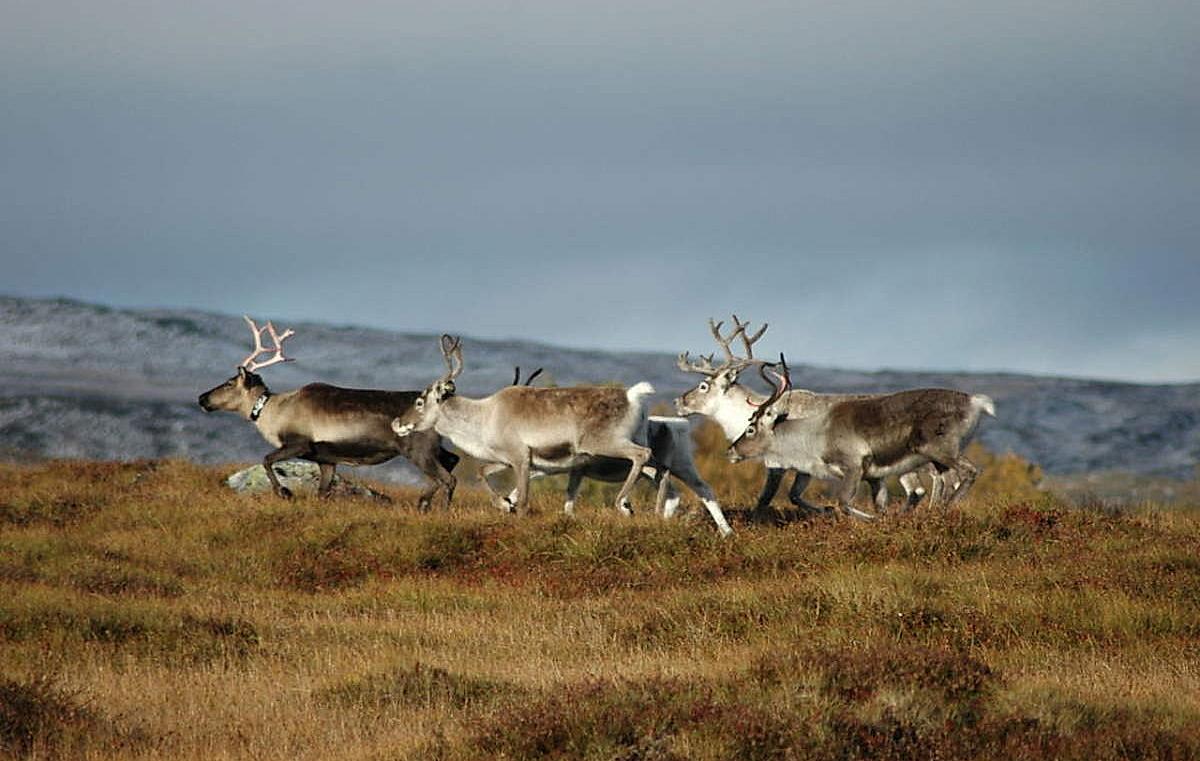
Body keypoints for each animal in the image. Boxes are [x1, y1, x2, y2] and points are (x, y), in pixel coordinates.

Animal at [198, 316, 459, 507]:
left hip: (417, 449)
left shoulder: (299, 443)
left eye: (229, 383)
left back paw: (439, 509)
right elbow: (322, 492)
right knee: (451, 461)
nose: (201, 398)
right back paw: (423, 502)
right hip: (431, 448)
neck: (274, 411)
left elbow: (266, 459)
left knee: (448, 478)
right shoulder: (326, 459)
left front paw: (284, 492)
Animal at [391, 335, 660, 521]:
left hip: (604, 444)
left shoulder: (521, 457)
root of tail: (633, 397)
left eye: (419, 401)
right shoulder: (506, 459)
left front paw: (511, 507)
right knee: (655, 468)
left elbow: (523, 501)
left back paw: (622, 504)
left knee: (642, 455)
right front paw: (503, 503)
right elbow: (481, 471)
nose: (397, 423)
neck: (484, 417)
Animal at [507, 368, 734, 535]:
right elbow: (568, 499)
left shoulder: (553, 465)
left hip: (660, 466)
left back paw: (630, 507)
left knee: (674, 483)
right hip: (675, 468)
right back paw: (724, 532)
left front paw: (509, 504)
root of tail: (677, 425)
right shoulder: (575, 470)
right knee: (696, 489)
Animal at [673, 315, 931, 519]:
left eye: (704, 386)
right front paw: (826, 511)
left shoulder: (777, 463)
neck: (748, 414)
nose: (678, 402)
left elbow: (765, 499)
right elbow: (794, 496)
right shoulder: (804, 467)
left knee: (917, 490)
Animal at [728, 355, 994, 516]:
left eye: (751, 428)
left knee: (970, 472)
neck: (813, 436)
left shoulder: (854, 467)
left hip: (940, 449)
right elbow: (880, 506)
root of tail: (976, 402)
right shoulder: (875, 478)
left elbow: (844, 504)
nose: (730, 450)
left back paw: (944, 510)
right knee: (948, 480)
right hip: (938, 458)